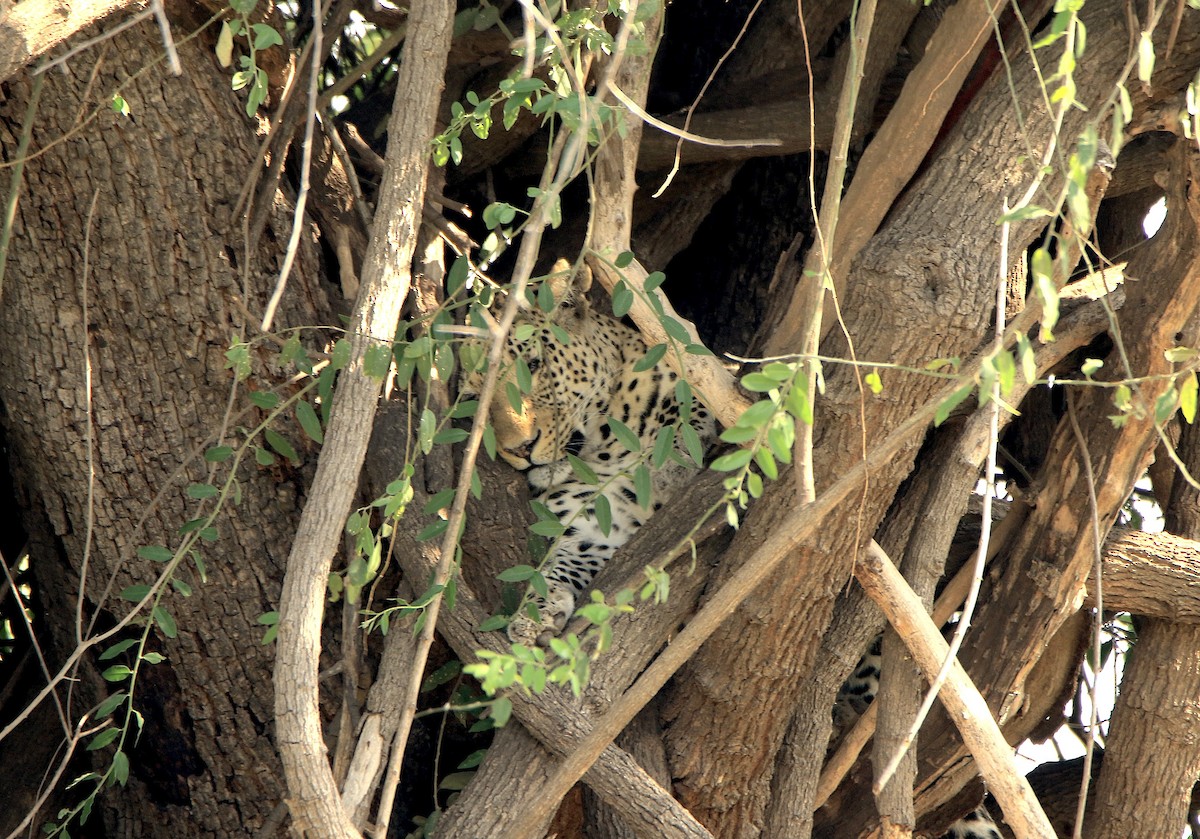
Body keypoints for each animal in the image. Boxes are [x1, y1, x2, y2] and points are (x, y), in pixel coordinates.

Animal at [460, 259, 714, 646]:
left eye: (533, 365)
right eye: (475, 401)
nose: (521, 447)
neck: (605, 442)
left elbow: (687, 420)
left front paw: (669, 468)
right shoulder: (596, 522)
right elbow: (562, 562)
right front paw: (537, 612)